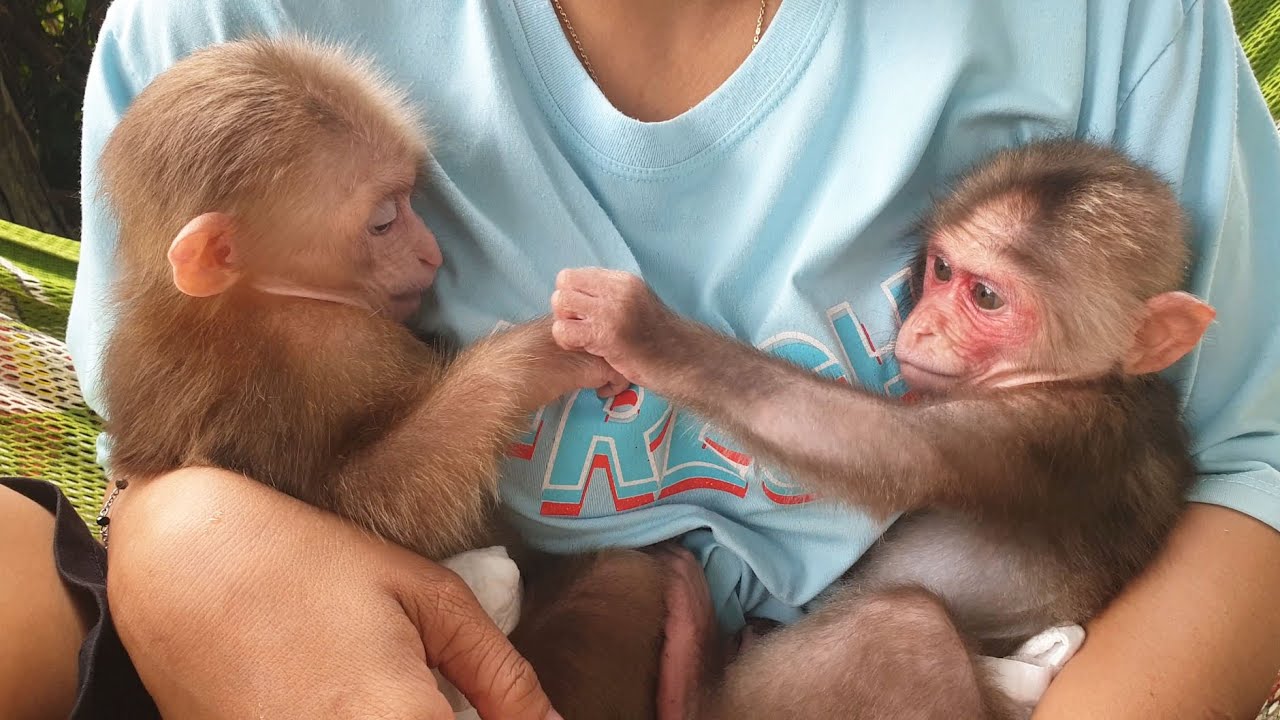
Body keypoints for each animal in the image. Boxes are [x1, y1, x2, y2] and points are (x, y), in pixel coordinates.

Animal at [93, 36, 676, 718]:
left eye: (409, 203)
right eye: (382, 220)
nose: (432, 251)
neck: (236, 302)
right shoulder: (337, 343)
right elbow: (378, 503)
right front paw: (533, 360)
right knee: (624, 583)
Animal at [550, 138, 1217, 719]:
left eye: (986, 296)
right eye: (942, 269)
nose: (922, 326)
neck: (1091, 380)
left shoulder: (1053, 430)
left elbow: (876, 443)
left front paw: (641, 331)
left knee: (910, 629)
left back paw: (689, 683)